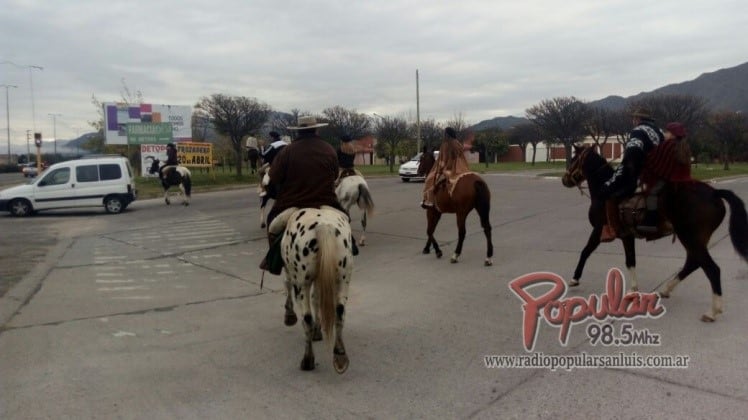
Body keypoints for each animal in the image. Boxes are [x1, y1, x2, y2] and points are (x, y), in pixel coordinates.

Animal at [268, 205, 356, 372]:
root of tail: (324, 226)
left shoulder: (292, 274)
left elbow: (287, 284)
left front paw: (289, 315)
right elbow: (317, 298)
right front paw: (318, 330)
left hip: (301, 283)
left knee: (306, 318)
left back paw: (308, 360)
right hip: (343, 278)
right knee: (339, 312)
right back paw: (340, 356)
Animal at [560, 145, 748, 322]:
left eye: (574, 159)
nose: (564, 179)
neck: (604, 190)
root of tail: (715, 193)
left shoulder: (598, 230)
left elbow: (585, 252)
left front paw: (575, 279)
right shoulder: (627, 236)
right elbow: (630, 261)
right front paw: (633, 290)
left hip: (689, 237)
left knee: (711, 269)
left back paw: (712, 311)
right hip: (695, 239)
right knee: (693, 263)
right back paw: (666, 289)